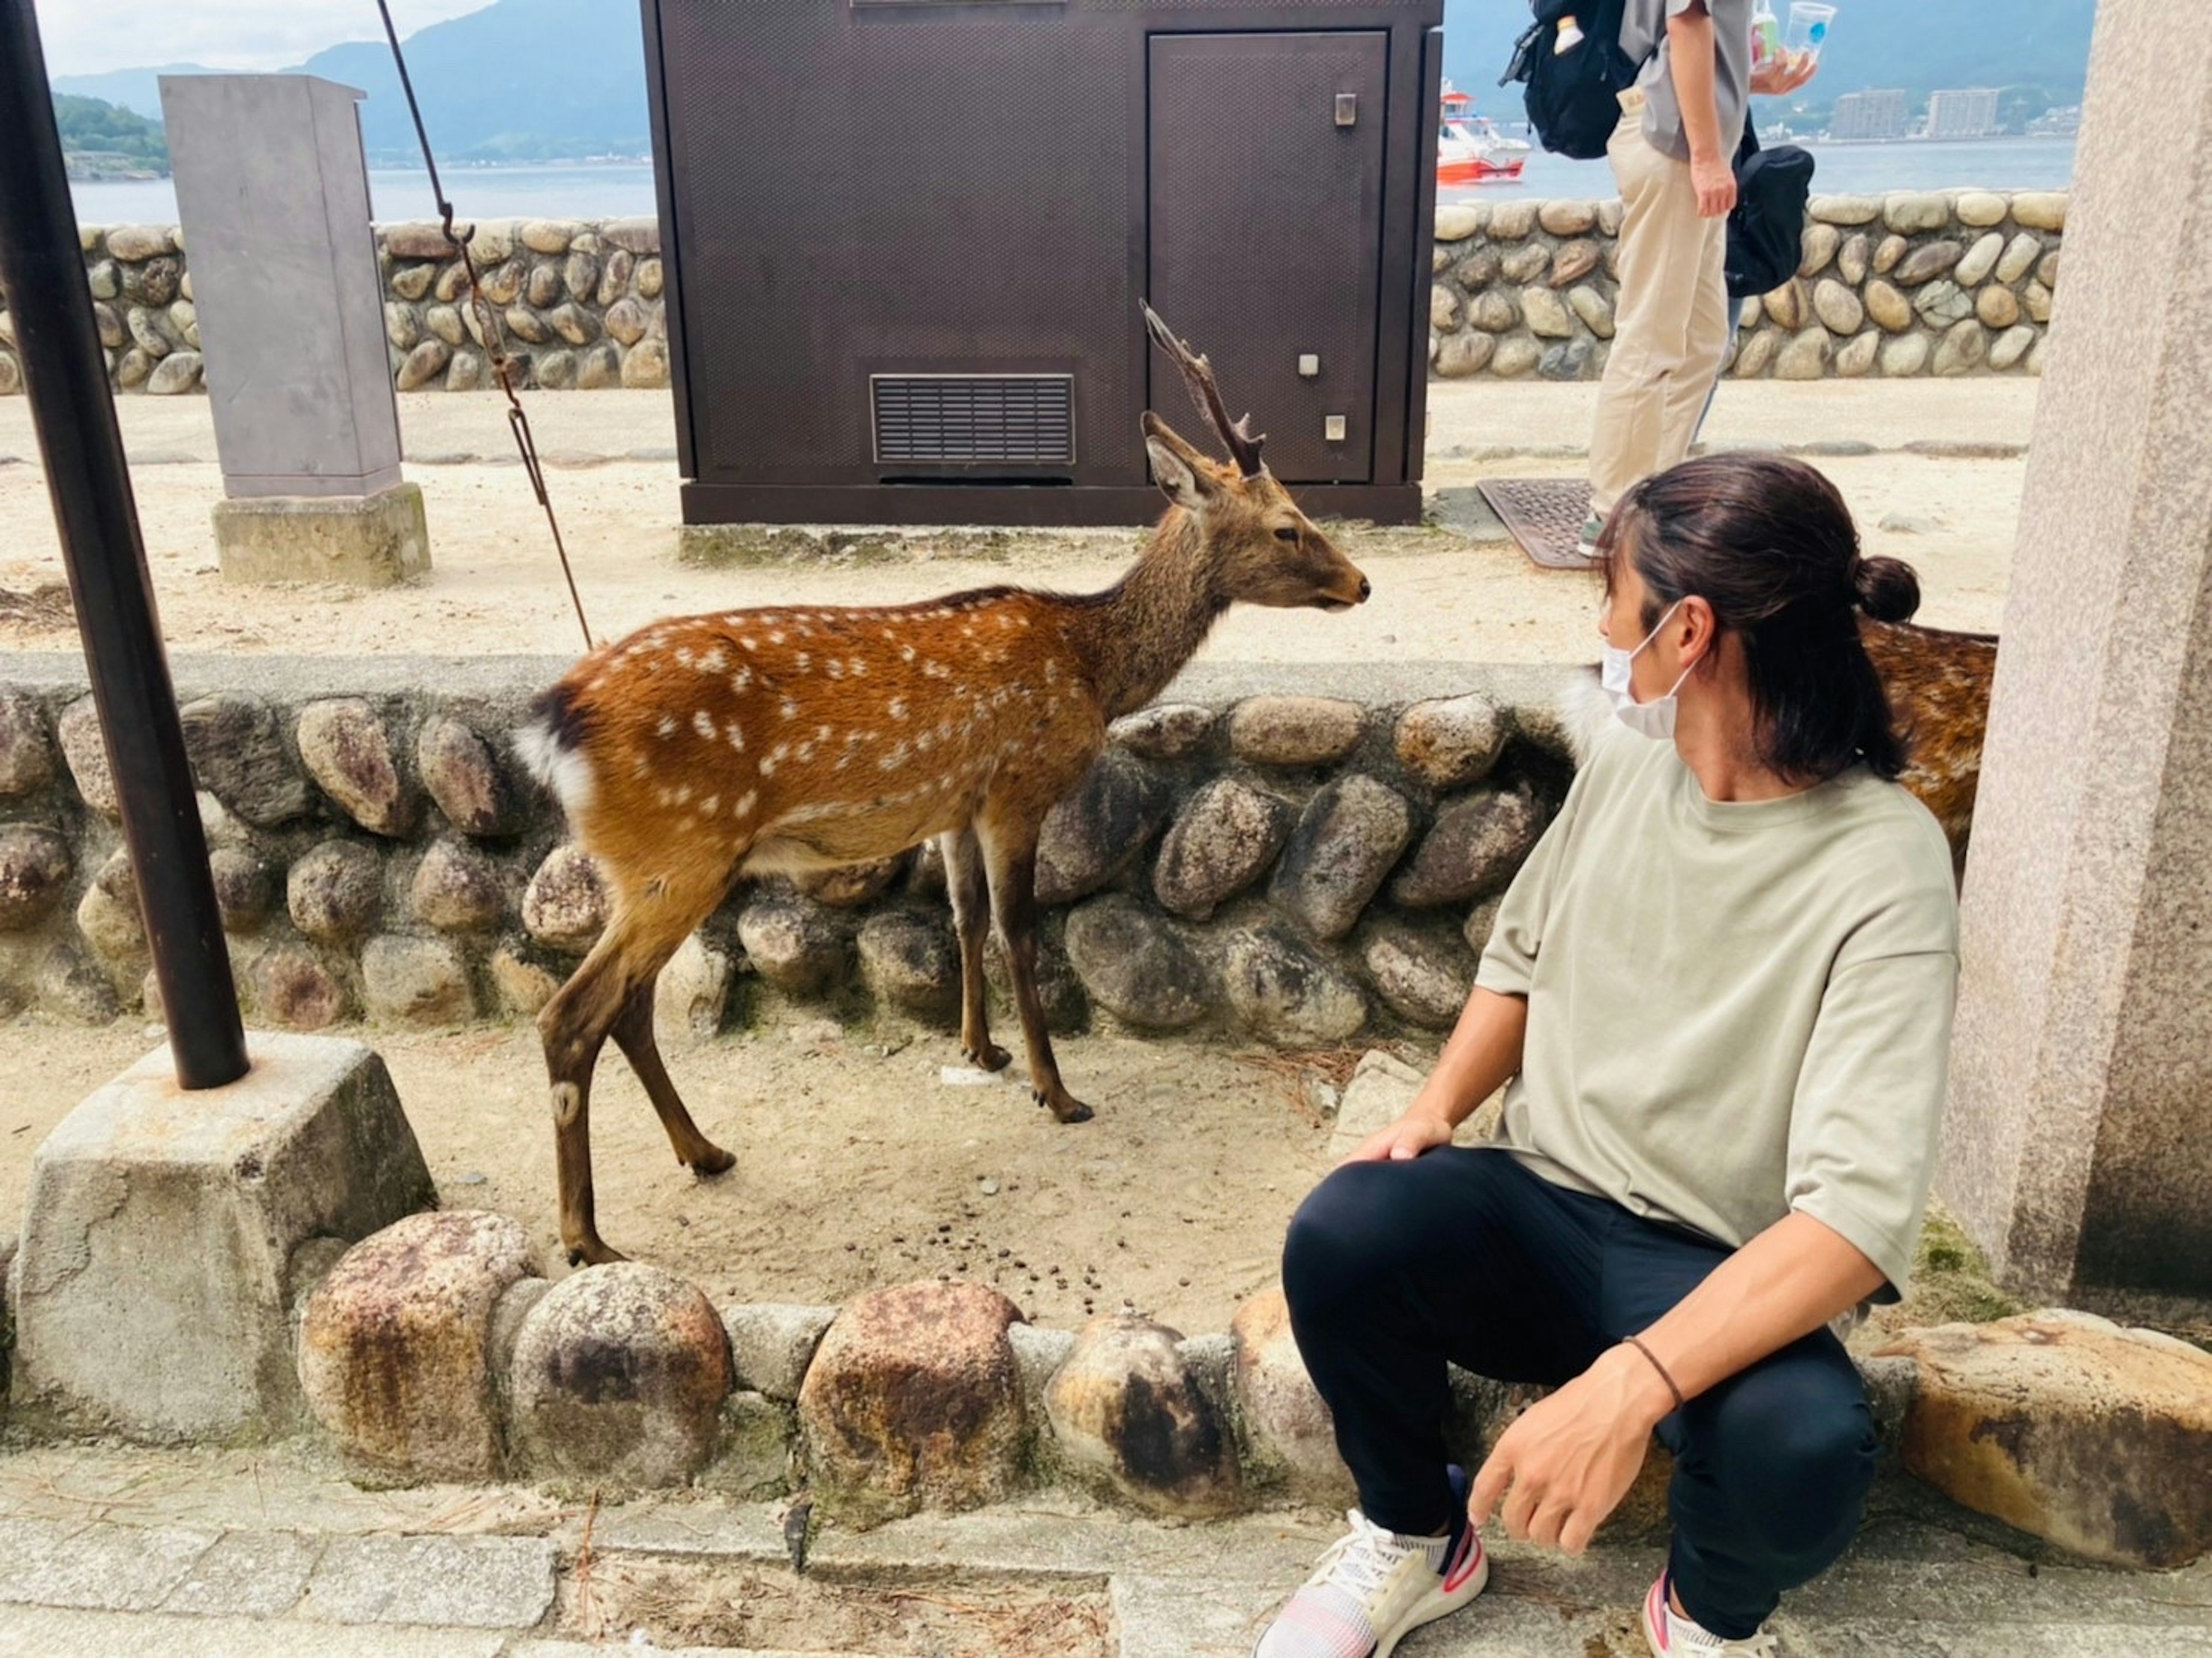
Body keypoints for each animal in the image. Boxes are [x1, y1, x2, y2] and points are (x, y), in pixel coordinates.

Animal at [517, 305, 1371, 1264]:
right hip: (680, 849)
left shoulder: (957, 805)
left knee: (626, 1007)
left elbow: (963, 917)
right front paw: (1057, 1091)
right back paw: (587, 1236)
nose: (1361, 581)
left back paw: (704, 1150)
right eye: (1290, 525)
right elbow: (1019, 931)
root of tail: (552, 724)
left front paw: (981, 1050)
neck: (1092, 670)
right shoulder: (1017, 788)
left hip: (657, 865)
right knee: (571, 1014)